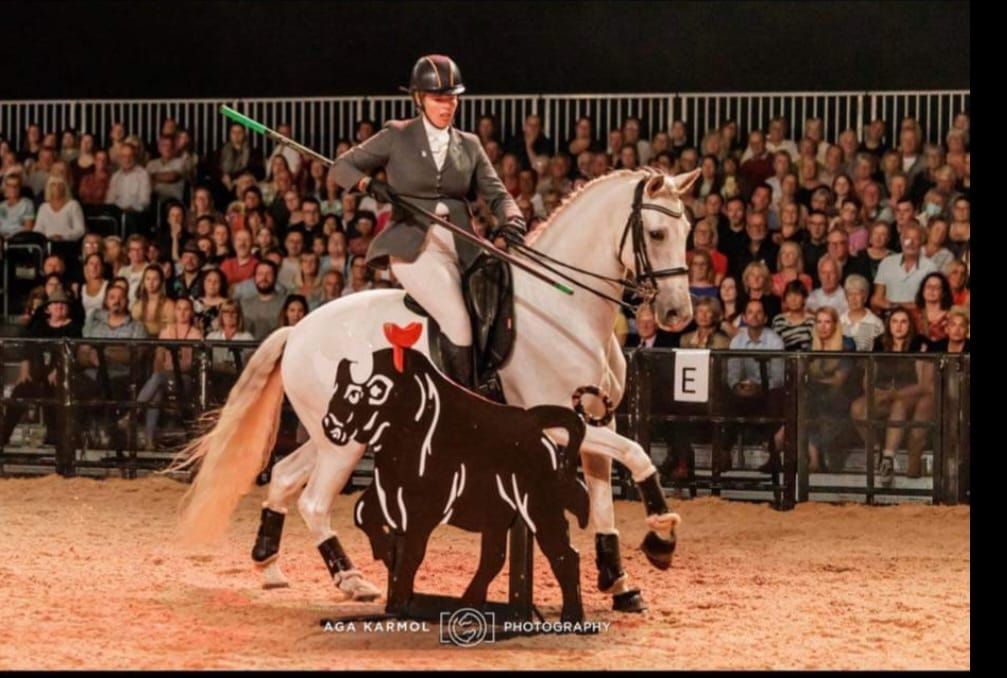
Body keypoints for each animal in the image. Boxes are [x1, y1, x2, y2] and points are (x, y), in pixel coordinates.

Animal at [173, 168, 696, 608]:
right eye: (656, 234)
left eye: (688, 231)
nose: (677, 315)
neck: (563, 310)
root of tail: (297, 329)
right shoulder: (561, 427)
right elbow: (639, 456)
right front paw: (662, 537)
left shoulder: (596, 421)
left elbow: (606, 501)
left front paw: (620, 583)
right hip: (344, 444)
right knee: (314, 500)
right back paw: (356, 580)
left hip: (331, 436)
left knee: (283, 478)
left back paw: (272, 566)